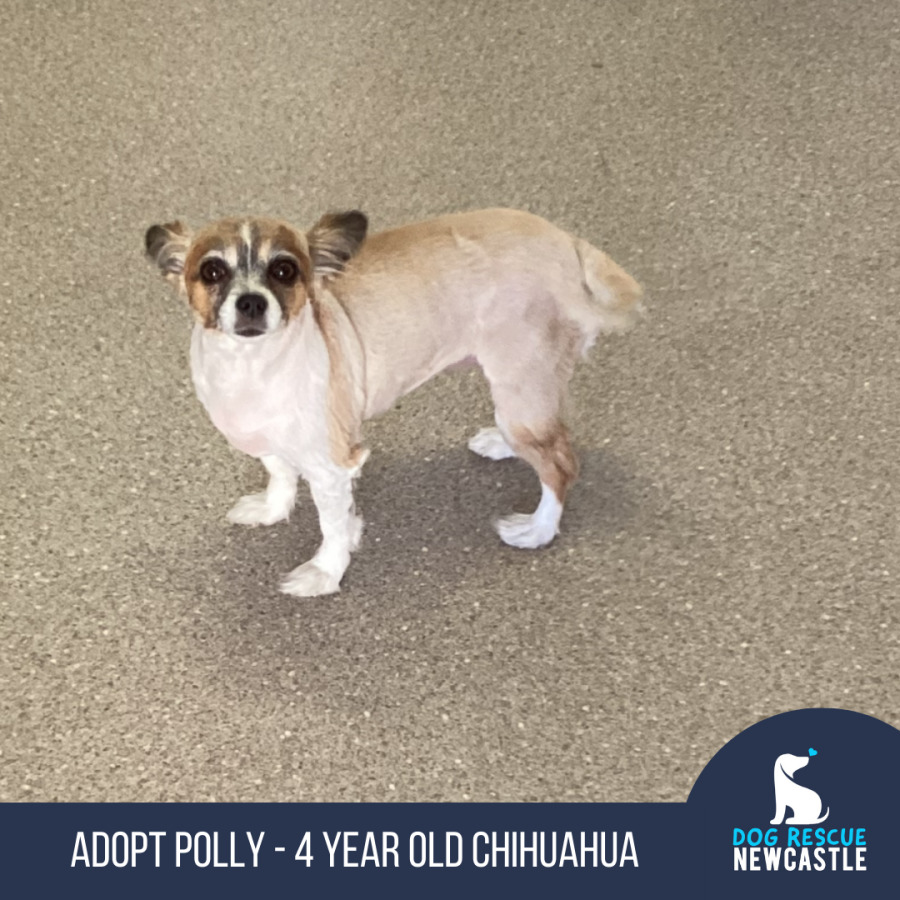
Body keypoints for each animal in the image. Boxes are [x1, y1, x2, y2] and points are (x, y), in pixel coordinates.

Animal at [144, 208, 642, 597]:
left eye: (284, 271)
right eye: (212, 271)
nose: (251, 302)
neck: (253, 370)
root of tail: (568, 243)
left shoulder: (333, 466)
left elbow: (332, 525)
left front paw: (324, 574)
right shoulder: (267, 438)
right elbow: (280, 474)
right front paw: (272, 510)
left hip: (522, 390)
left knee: (561, 464)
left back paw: (538, 530)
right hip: (516, 391)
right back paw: (499, 444)